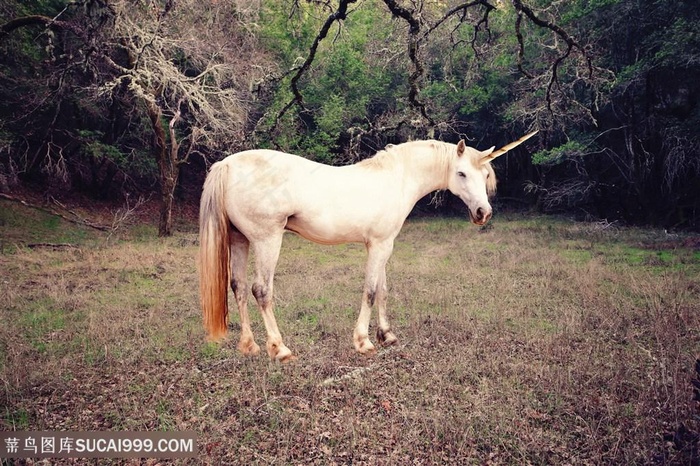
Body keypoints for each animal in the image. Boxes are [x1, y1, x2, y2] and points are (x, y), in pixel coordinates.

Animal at [200, 131, 540, 360]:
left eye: (484, 174)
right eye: (461, 173)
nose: (483, 213)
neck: (395, 179)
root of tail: (227, 165)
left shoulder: (383, 245)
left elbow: (384, 289)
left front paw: (387, 335)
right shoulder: (378, 245)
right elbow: (371, 291)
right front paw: (363, 341)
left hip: (240, 239)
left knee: (238, 287)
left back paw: (249, 346)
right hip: (267, 240)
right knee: (261, 290)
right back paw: (280, 348)